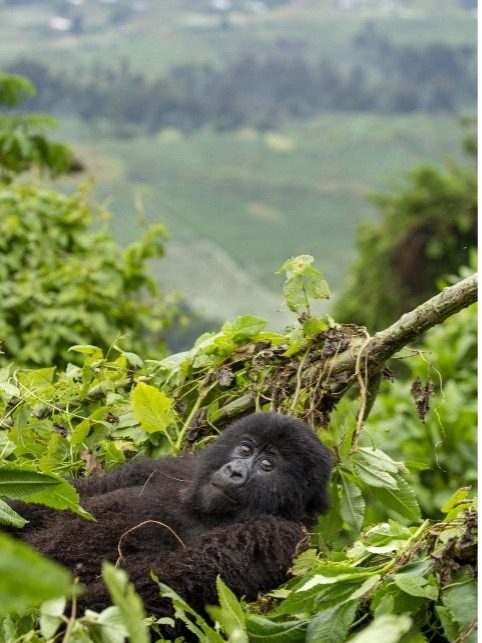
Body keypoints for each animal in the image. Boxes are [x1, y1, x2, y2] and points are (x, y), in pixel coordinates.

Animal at [7, 412, 332, 632]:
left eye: (267, 465)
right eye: (245, 449)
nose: (235, 471)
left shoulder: (278, 535)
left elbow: (168, 586)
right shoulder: (173, 466)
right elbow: (78, 494)